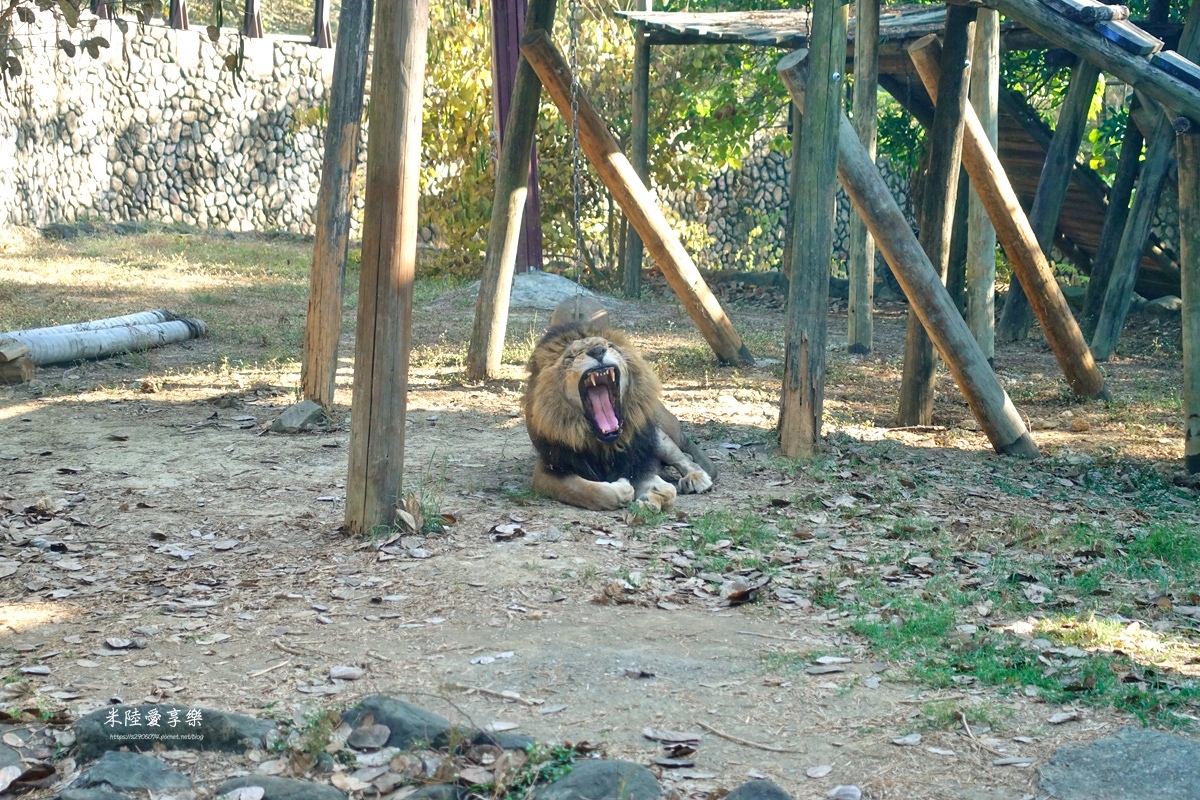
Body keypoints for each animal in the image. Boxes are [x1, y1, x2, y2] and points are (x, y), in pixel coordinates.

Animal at [523, 299, 710, 513]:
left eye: (610, 346)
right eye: (570, 356)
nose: (597, 351)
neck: (605, 443)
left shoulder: (637, 462)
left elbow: (667, 490)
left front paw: (654, 496)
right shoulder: (550, 469)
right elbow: (588, 491)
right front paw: (623, 488)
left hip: (658, 435)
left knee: (682, 457)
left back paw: (696, 478)